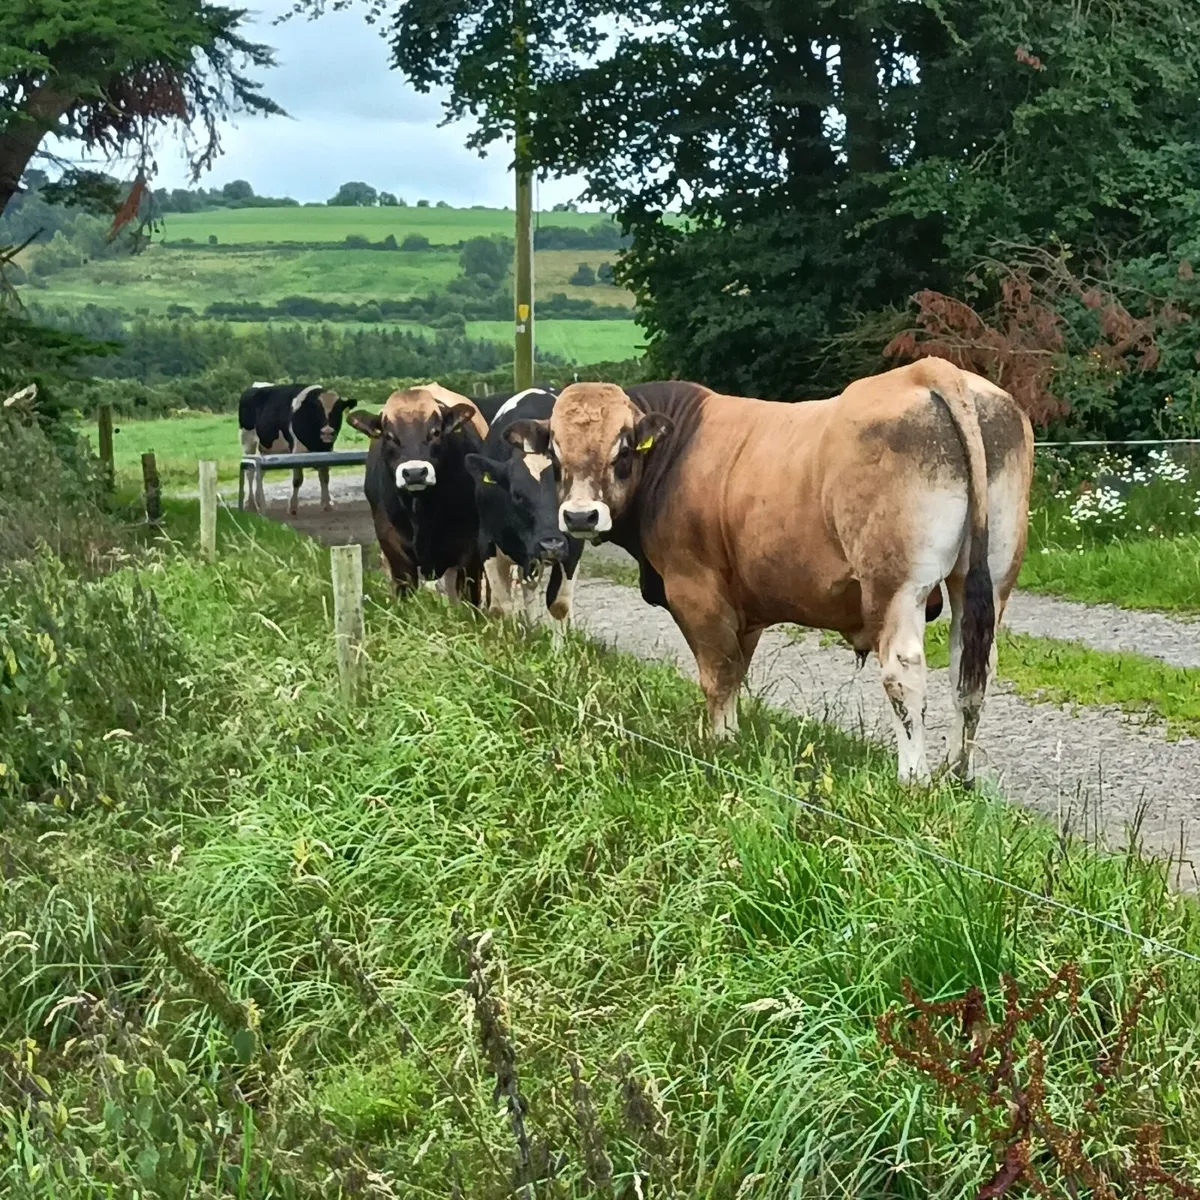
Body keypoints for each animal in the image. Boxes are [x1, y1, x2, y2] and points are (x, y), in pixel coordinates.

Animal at [238, 381, 357, 514]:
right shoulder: (297, 452)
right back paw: (250, 504)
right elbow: (297, 480)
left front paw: (327, 504)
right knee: (250, 472)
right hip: (248, 442)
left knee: (261, 472)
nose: (327, 432)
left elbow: (324, 477)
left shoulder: (326, 451)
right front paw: (293, 507)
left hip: (266, 447)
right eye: (317, 410)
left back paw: (259, 501)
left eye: (337, 411)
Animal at [462, 387, 583, 639]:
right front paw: (508, 642)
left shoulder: (574, 545)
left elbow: (559, 604)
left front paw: (560, 647)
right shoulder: (486, 542)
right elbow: (501, 606)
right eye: (517, 494)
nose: (551, 545)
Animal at [505, 360, 1034, 785]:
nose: (580, 516)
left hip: (896, 588)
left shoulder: (696, 590)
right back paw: (957, 774)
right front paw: (733, 736)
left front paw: (719, 744)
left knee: (904, 673)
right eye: (555, 452)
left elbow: (717, 673)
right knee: (971, 670)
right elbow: (737, 669)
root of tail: (929, 370)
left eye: (622, 450)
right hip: (989, 580)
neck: (677, 452)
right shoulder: (746, 604)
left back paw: (914, 778)